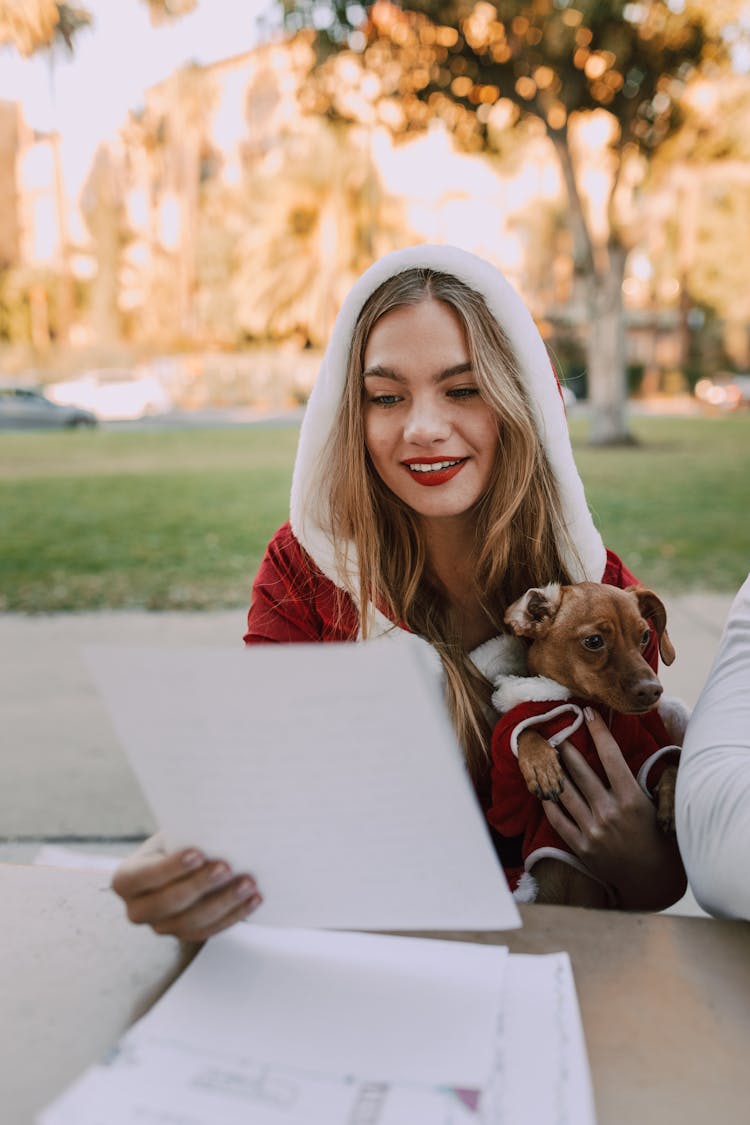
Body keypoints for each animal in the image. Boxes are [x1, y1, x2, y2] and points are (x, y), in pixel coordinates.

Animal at [499, 585, 688, 909]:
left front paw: (672, 804)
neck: (590, 705)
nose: (654, 691)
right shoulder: (509, 802)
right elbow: (524, 731)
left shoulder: (645, 754)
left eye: (644, 636)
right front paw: (541, 764)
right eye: (594, 642)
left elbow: (670, 763)